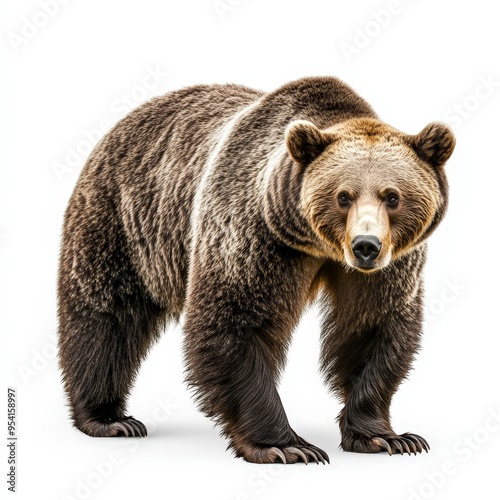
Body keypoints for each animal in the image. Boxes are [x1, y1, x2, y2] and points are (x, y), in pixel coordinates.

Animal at [56, 76, 456, 462]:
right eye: (343, 196)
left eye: (393, 196)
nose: (366, 246)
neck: (318, 245)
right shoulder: (255, 233)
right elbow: (235, 320)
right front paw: (285, 445)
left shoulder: (391, 264)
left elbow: (372, 328)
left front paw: (387, 437)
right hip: (124, 219)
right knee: (105, 314)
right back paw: (109, 418)